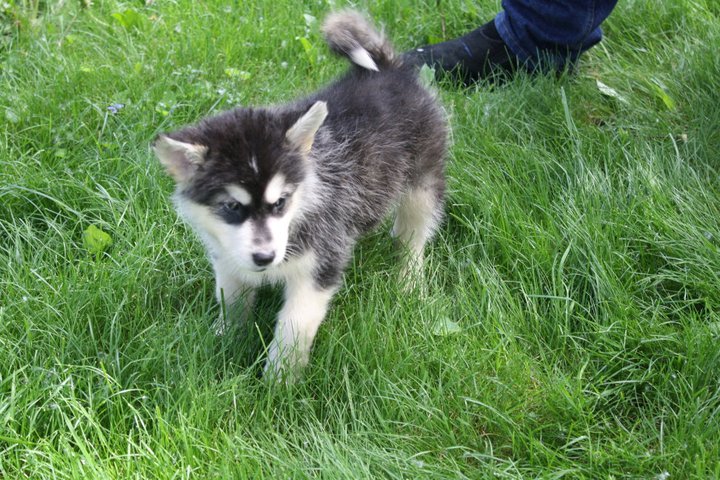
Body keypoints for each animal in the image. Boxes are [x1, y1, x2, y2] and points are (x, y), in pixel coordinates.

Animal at [153, 9, 448, 380]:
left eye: (280, 202)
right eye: (231, 206)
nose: (264, 258)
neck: (303, 206)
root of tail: (388, 68)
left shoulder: (318, 268)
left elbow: (293, 328)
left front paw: (279, 381)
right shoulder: (228, 259)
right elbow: (231, 301)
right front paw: (225, 340)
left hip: (423, 183)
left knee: (415, 236)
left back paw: (409, 280)